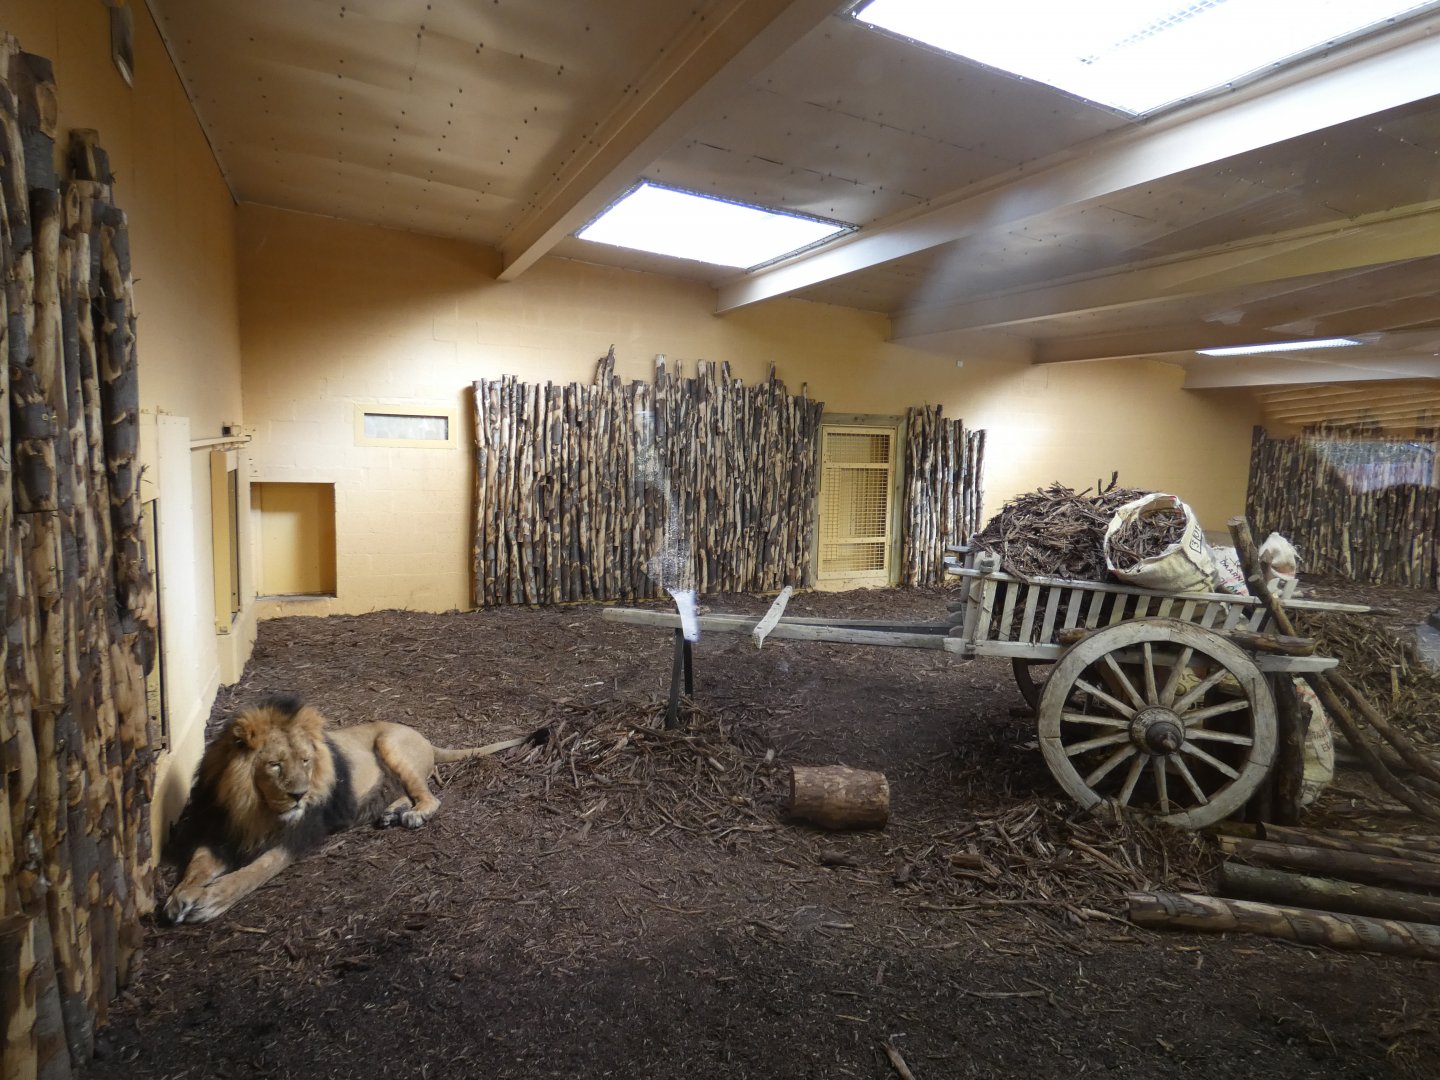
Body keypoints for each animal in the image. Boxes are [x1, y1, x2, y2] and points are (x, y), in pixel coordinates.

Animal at [163, 695, 529, 925]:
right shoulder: (219, 831)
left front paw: (212, 900)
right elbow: (197, 864)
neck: (253, 807)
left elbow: (255, 871)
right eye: (275, 765)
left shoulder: (299, 836)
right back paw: (390, 813)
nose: (299, 796)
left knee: (429, 797)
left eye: (306, 761)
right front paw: (180, 896)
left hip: (389, 742)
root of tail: (426, 739)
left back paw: (412, 815)